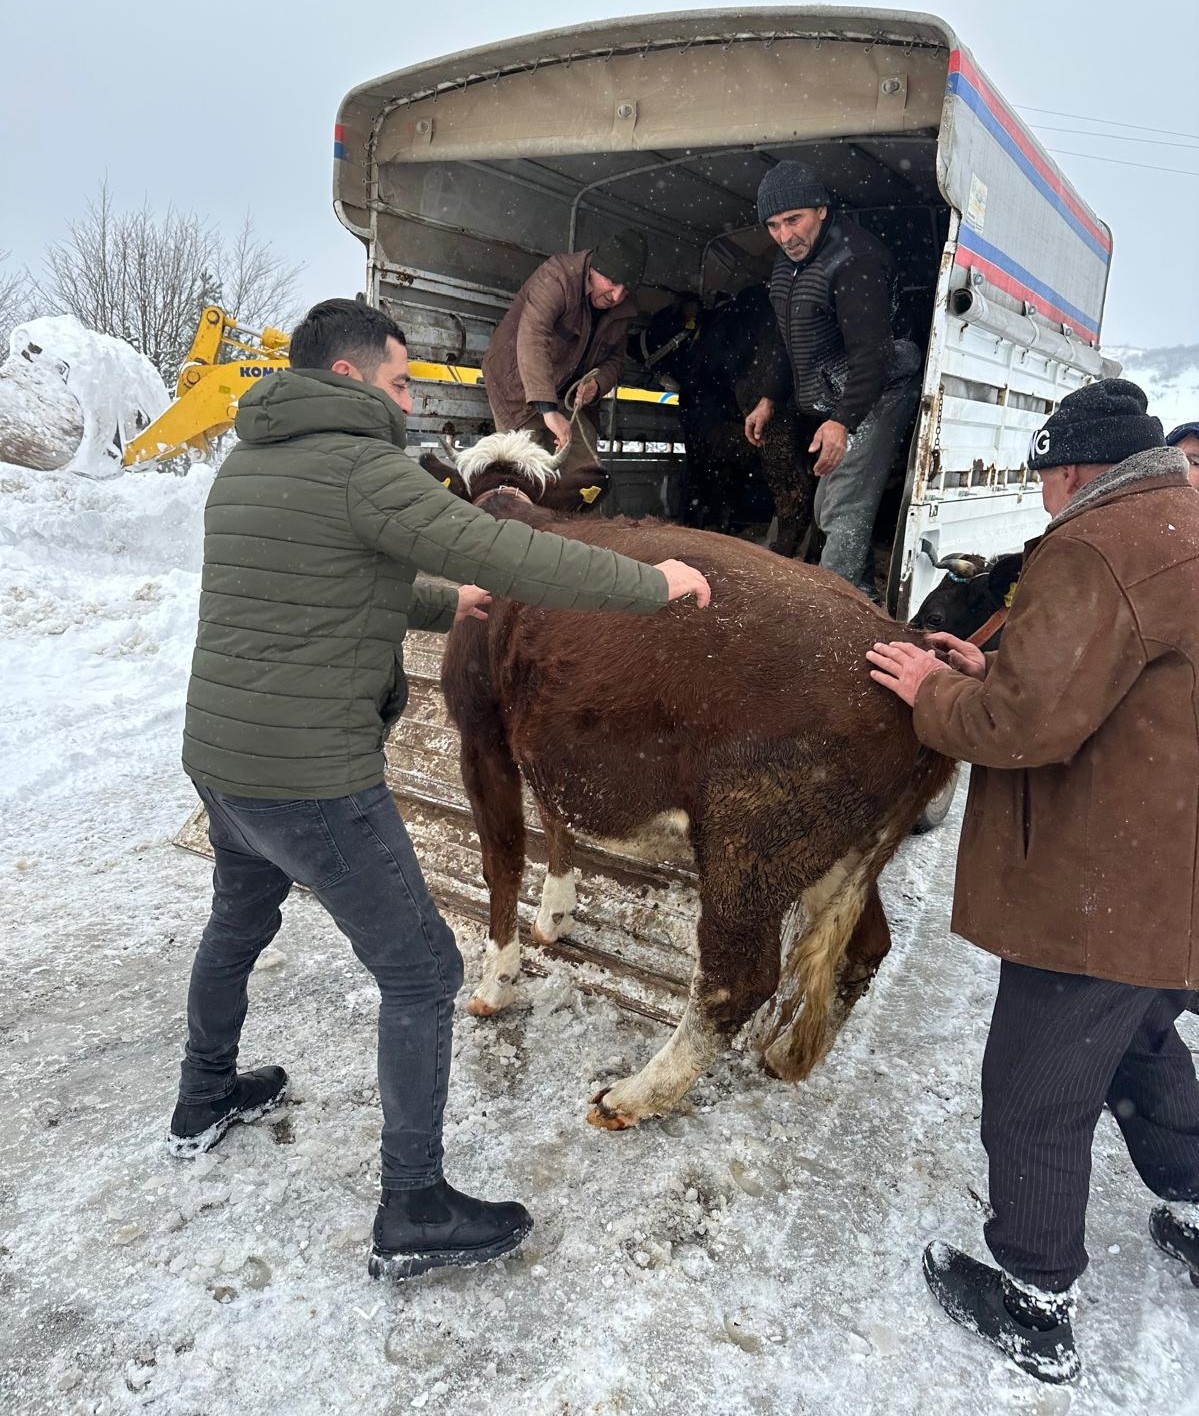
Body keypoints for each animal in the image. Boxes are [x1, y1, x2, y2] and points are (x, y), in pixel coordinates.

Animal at [438, 427, 956, 1127]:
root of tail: (912, 645)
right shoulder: (546, 734)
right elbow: (556, 819)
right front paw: (556, 914)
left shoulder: (482, 733)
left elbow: (503, 861)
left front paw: (495, 983)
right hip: (841, 851)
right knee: (866, 944)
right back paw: (786, 1053)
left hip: (750, 844)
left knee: (735, 982)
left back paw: (633, 1096)